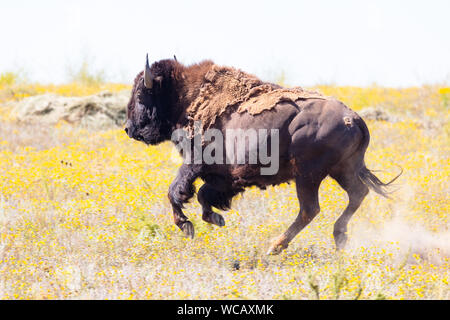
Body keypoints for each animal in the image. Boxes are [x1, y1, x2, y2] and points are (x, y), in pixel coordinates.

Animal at [124, 55, 400, 255]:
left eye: (140, 95)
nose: (128, 128)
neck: (186, 96)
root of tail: (353, 118)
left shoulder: (196, 164)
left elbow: (176, 191)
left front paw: (186, 226)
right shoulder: (224, 177)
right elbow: (203, 195)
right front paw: (216, 218)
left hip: (308, 176)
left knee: (310, 209)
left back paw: (275, 246)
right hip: (341, 170)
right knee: (357, 194)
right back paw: (338, 238)